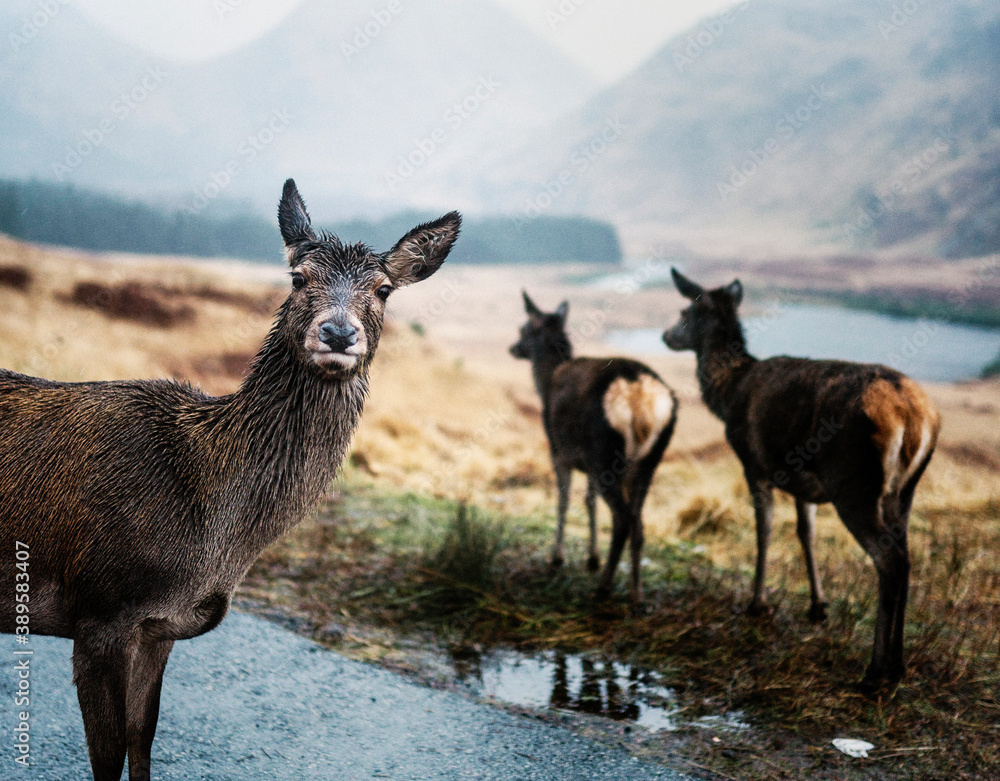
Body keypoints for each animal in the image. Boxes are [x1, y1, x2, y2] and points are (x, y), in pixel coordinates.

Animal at [0, 180, 460, 776]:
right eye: (298, 277)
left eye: (382, 290)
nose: (338, 332)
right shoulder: (101, 608)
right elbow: (108, 756)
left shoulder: (159, 627)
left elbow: (141, 739)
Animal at [508, 290, 680, 608]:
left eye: (523, 329)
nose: (513, 348)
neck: (546, 382)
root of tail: (640, 397)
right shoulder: (586, 461)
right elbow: (589, 501)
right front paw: (592, 559)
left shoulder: (559, 450)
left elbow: (563, 499)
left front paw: (557, 558)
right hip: (648, 459)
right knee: (638, 522)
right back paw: (636, 594)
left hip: (606, 453)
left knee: (623, 519)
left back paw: (603, 588)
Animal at [664, 270, 936, 688]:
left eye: (685, 311)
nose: (666, 335)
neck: (728, 394)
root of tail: (914, 417)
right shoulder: (803, 483)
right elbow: (806, 534)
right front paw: (818, 606)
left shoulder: (755, 465)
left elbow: (764, 530)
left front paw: (757, 603)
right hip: (903, 491)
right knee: (905, 557)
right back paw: (898, 664)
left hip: (853, 482)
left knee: (888, 561)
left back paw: (874, 673)